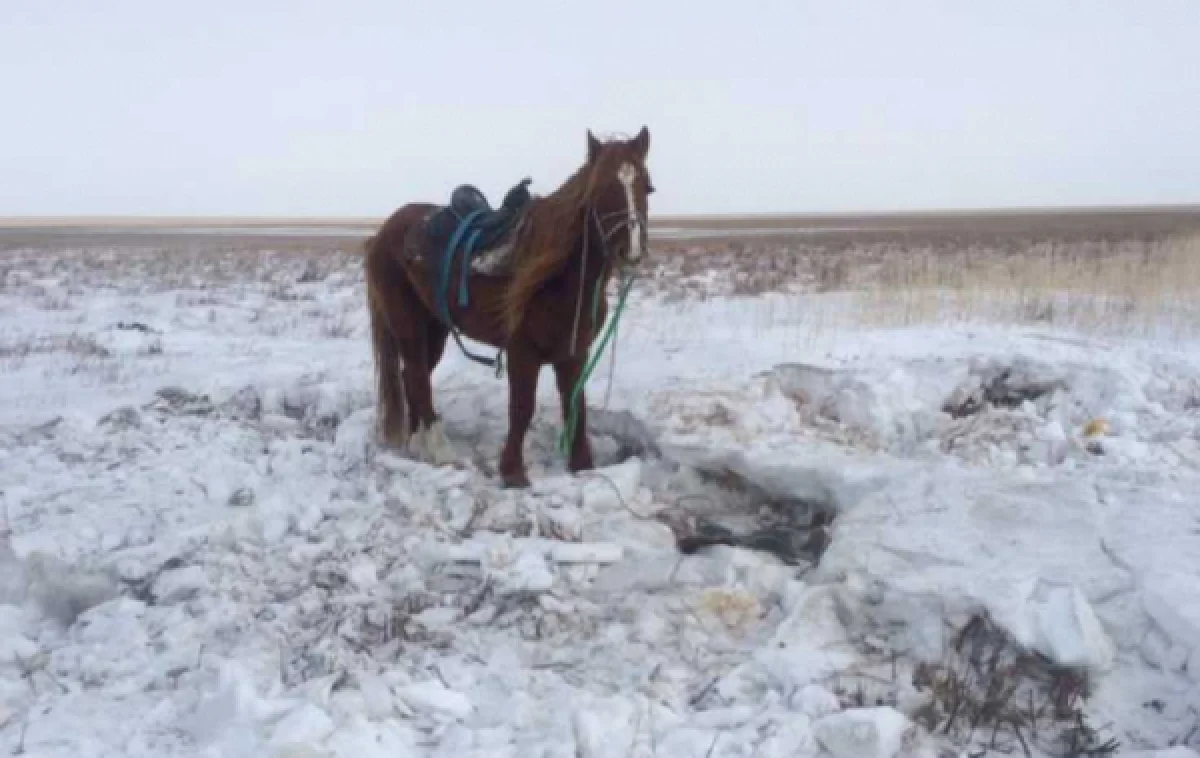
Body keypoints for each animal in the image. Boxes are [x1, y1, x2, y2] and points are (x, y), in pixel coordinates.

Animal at [364, 128, 657, 489]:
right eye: (602, 188)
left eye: (647, 187)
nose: (631, 251)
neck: (560, 278)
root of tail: (384, 231)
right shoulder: (522, 352)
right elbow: (522, 407)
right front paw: (513, 471)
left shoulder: (574, 352)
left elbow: (576, 405)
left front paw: (582, 466)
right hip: (408, 324)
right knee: (417, 376)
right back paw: (439, 449)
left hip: (435, 327)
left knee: (413, 375)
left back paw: (417, 441)